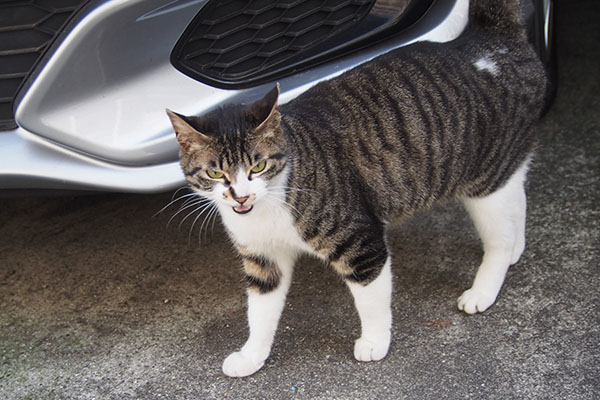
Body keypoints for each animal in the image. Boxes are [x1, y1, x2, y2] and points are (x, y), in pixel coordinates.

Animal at [164, 0, 548, 376]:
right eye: (215, 173)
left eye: (257, 166)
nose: (240, 196)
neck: (270, 203)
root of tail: (488, 41)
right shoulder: (263, 258)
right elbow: (259, 312)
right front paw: (251, 356)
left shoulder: (360, 243)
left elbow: (371, 299)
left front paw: (375, 343)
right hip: (501, 171)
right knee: (519, 195)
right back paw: (516, 248)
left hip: (486, 180)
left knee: (499, 235)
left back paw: (484, 287)